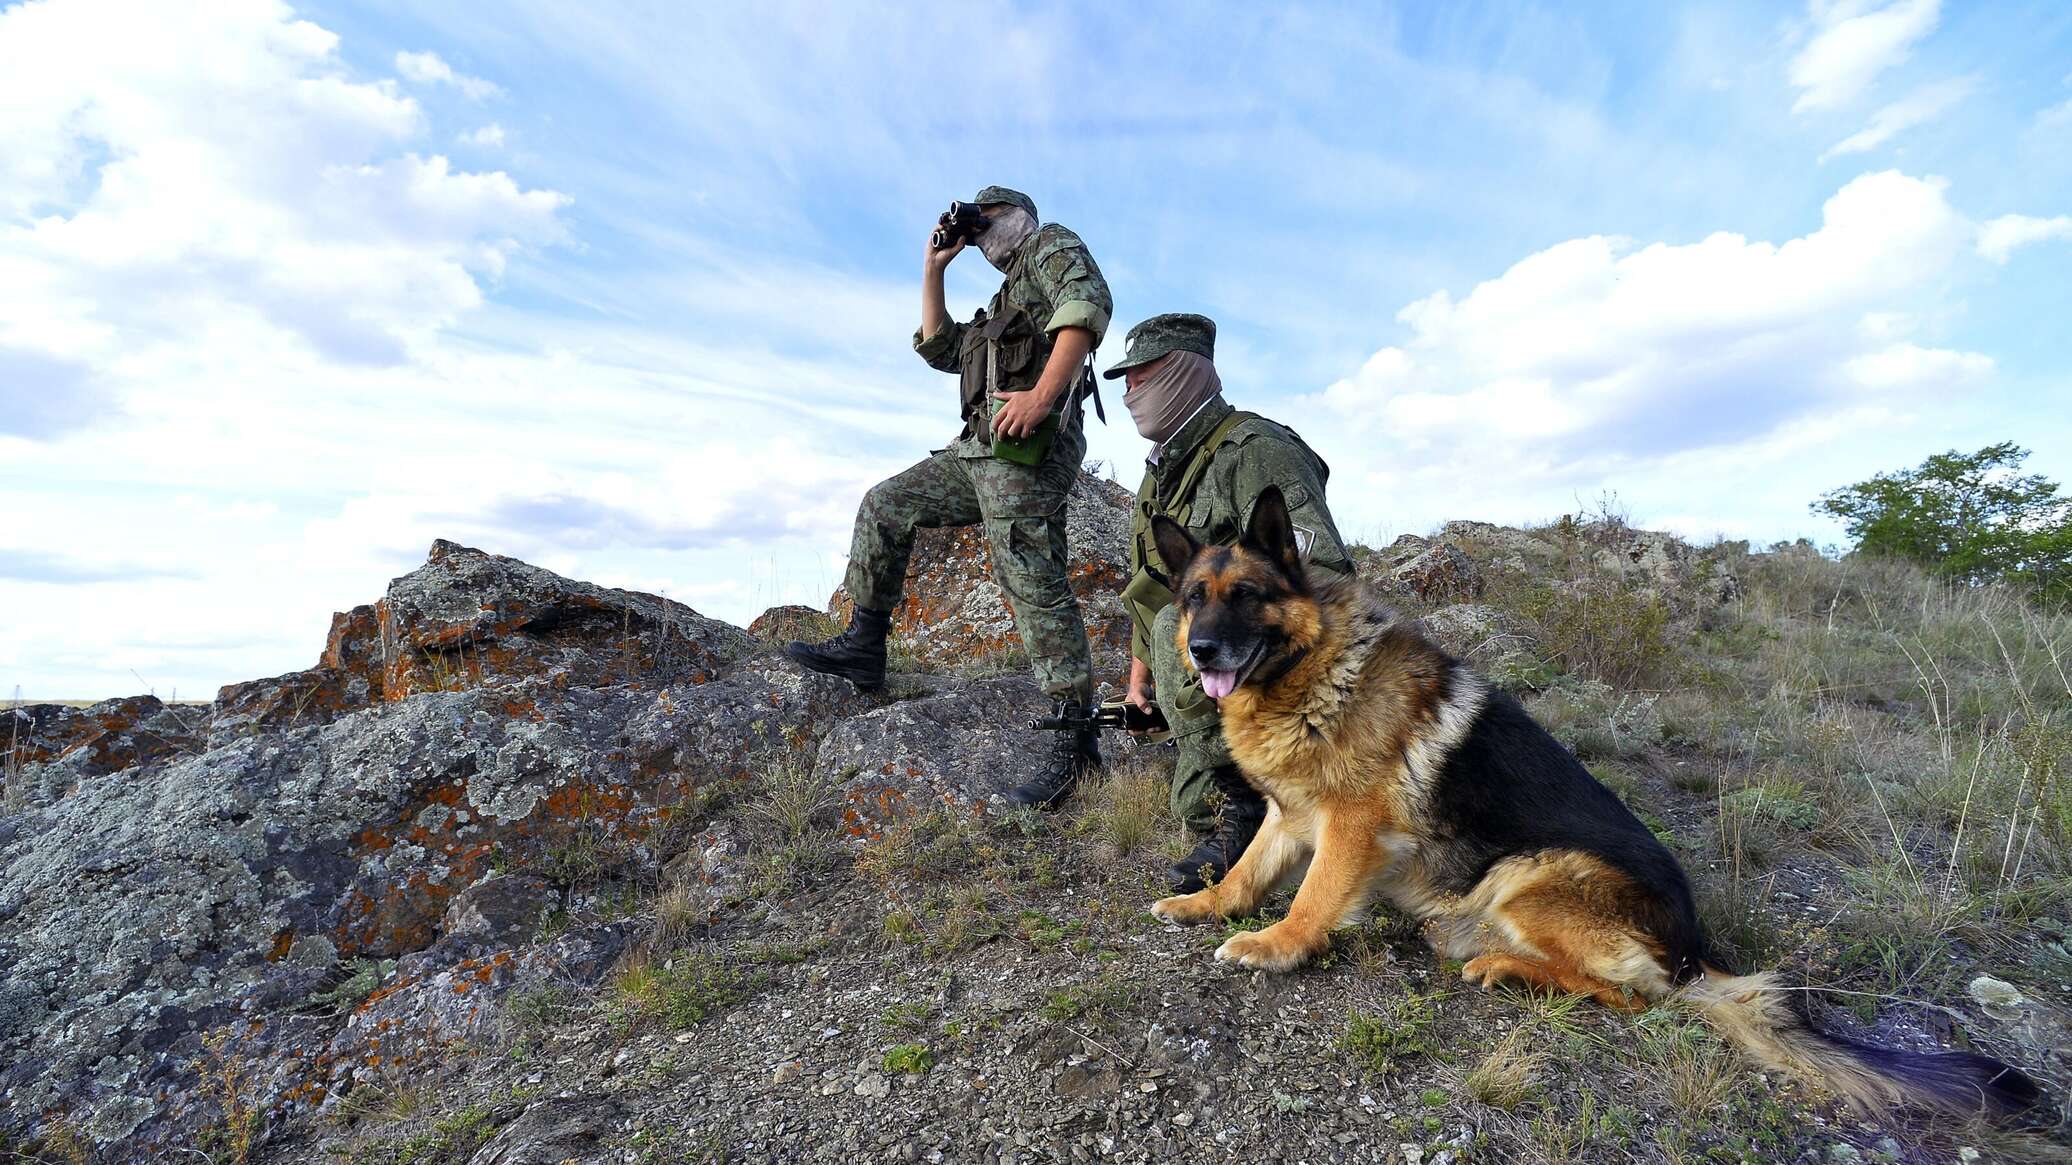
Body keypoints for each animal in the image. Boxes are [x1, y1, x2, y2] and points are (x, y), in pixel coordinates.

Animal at [1152, 485, 2038, 1111]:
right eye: (1195, 595)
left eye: (1248, 594)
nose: (1203, 650)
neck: (1309, 667)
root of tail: (1695, 949)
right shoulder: (1288, 815)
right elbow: (1246, 871)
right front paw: (1204, 906)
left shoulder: (1350, 827)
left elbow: (1311, 897)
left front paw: (1276, 945)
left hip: (1533, 876)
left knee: (1631, 995)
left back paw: (1505, 964)